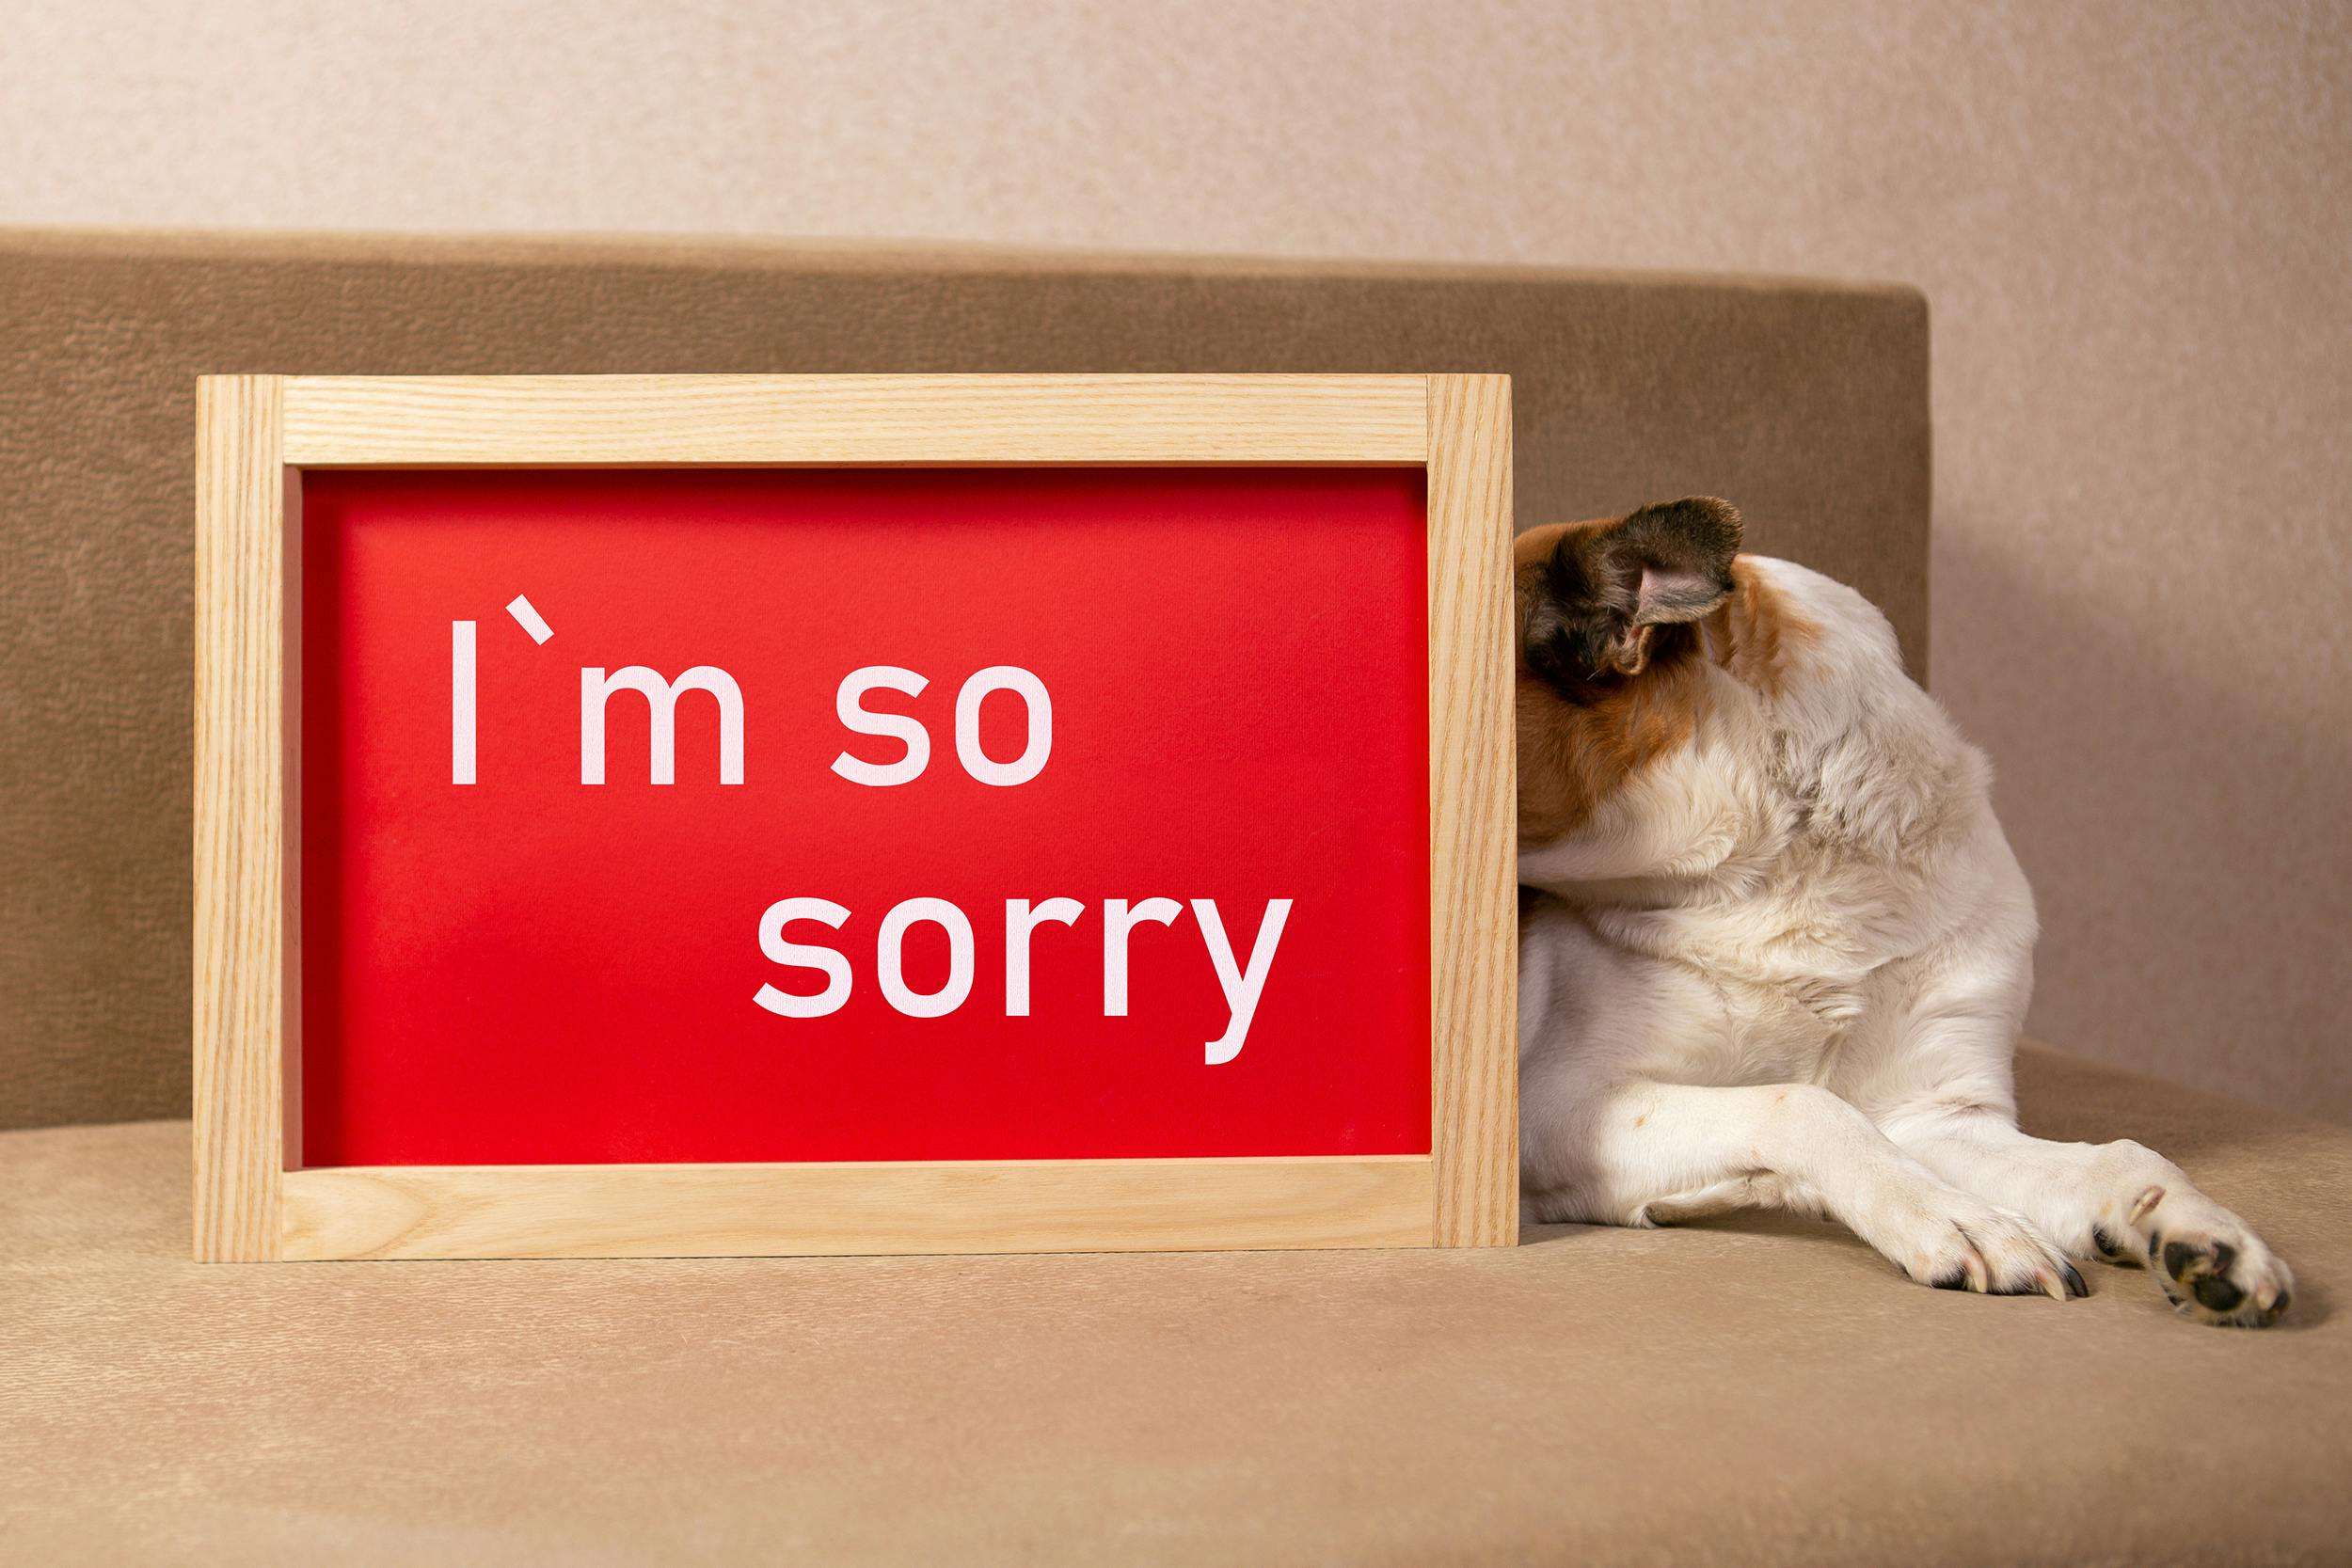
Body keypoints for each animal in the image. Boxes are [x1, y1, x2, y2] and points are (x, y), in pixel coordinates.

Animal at [1505, 502, 2296, 1325]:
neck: (1785, 878)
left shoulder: (1939, 1115)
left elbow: (2125, 1154)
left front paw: (2191, 1223)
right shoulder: (1559, 1105)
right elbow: (1806, 1103)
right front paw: (1959, 1218)